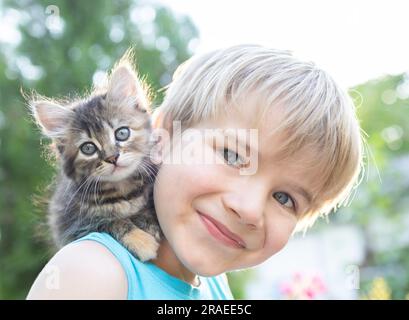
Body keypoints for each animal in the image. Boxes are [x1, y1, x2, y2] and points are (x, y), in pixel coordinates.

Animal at [29, 53, 161, 262]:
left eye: (122, 133)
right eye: (88, 148)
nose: (113, 157)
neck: (123, 191)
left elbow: (147, 209)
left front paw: (147, 221)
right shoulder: (69, 227)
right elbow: (110, 222)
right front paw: (142, 242)